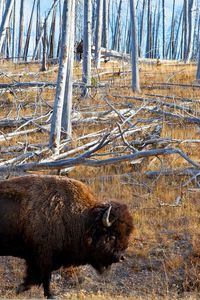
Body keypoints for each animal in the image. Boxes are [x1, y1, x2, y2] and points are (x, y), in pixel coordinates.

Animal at [0, 175, 134, 298]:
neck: (84, 220)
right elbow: (39, 277)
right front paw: (20, 289)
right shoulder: (41, 258)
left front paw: (49, 295)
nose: (121, 257)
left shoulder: (49, 259)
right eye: (112, 236)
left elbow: (46, 278)